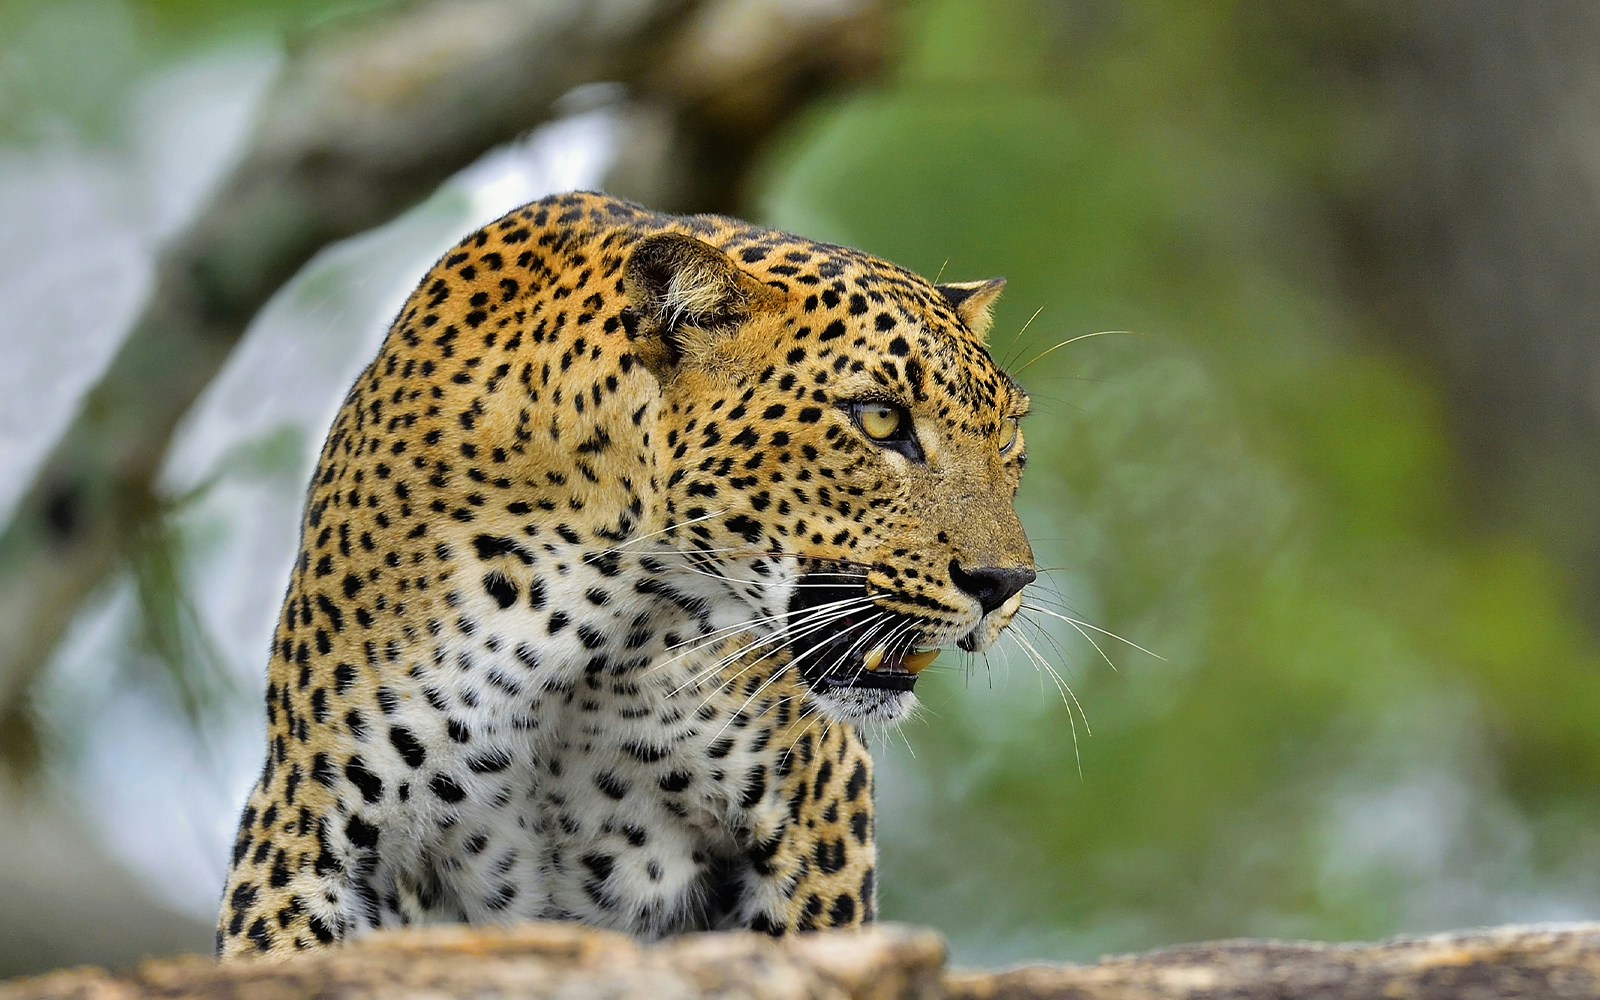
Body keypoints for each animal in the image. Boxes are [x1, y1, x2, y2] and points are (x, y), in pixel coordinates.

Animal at [216, 188, 1036, 960]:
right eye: (878, 419)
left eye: (1007, 440)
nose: (1005, 584)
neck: (607, 605)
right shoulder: (306, 816)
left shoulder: (818, 811)